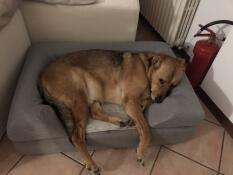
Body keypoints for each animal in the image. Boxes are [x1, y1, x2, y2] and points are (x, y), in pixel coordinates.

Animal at [39, 50, 187, 174]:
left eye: (173, 86)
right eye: (161, 80)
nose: (160, 101)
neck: (146, 68)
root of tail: (41, 77)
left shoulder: (138, 101)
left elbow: (144, 108)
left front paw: (137, 118)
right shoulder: (130, 102)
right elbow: (146, 130)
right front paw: (141, 152)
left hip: (94, 93)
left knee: (95, 112)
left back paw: (119, 121)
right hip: (80, 96)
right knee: (76, 136)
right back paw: (91, 164)